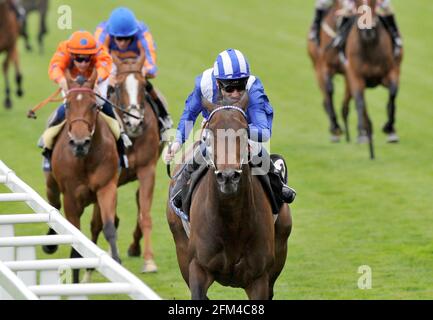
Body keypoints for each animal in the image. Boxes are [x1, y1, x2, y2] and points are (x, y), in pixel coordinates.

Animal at [165, 95, 290, 300]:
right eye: (209, 134)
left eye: (245, 131)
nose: (228, 176)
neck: (231, 221)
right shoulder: (197, 267)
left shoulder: (259, 277)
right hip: (180, 244)